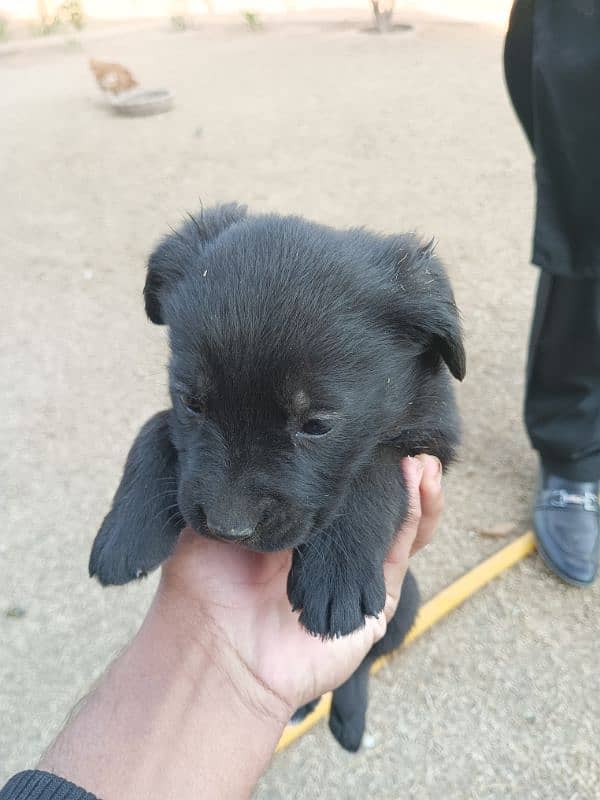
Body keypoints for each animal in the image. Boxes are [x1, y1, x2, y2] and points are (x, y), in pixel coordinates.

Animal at [89, 203, 464, 752]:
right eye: (192, 401)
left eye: (317, 424)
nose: (228, 528)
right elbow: (154, 428)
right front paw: (126, 535)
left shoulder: (432, 440)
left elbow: (373, 468)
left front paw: (336, 574)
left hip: (406, 607)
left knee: (358, 664)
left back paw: (348, 718)